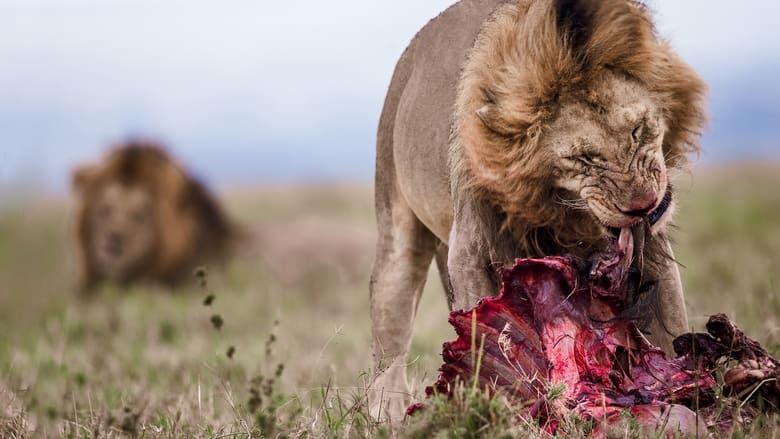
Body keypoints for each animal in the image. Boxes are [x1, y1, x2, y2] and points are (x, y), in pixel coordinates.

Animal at [369, 0, 707, 420]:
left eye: (637, 130)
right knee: (390, 337)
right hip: (396, 238)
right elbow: (484, 335)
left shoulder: (652, 246)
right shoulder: (470, 252)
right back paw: (386, 416)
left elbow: (672, 323)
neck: (568, 210)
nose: (642, 204)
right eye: (584, 158)